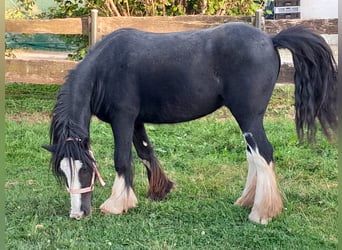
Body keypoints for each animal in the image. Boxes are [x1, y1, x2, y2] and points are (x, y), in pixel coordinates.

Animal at [42, 22, 336, 224]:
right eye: (64, 172)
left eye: (84, 169)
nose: (78, 214)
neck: (106, 68)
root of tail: (270, 39)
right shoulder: (136, 121)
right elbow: (146, 152)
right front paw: (158, 191)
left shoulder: (122, 119)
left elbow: (122, 159)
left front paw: (116, 204)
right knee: (253, 155)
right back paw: (246, 201)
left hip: (249, 116)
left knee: (263, 152)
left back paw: (261, 213)